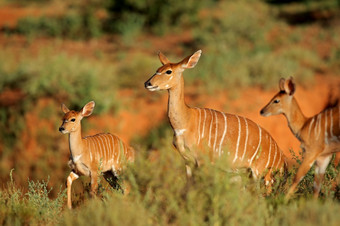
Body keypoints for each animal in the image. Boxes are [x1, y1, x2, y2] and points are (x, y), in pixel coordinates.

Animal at [144, 50, 286, 186]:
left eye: (168, 71)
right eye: (157, 69)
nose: (147, 83)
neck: (186, 121)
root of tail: (281, 159)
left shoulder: (203, 161)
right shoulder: (188, 161)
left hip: (263, 176)